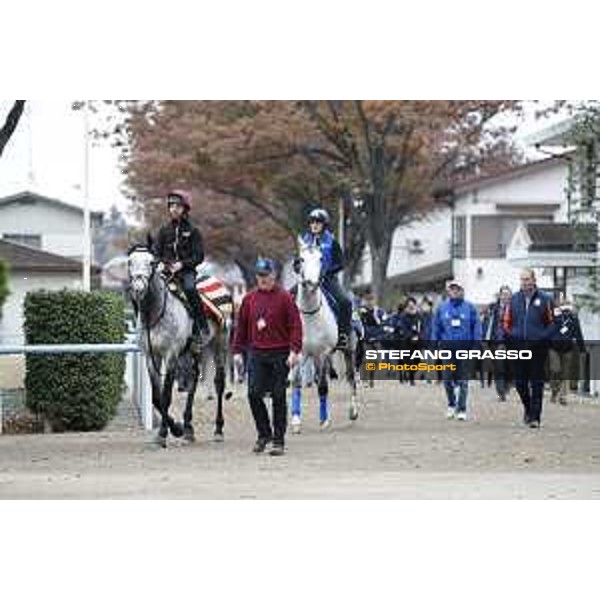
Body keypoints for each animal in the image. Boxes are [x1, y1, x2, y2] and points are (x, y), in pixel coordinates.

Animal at [126, 243, 230, 446]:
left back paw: (218, 429)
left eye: (151, 262)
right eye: (130, 262)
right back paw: (189, 428)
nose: (138, 288)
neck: (156, 313)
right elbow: (157, 397)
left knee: (219, 383)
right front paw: (177, 428)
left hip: (219, 343)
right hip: (193, 350)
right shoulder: (151, 356)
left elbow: (166, 396)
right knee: (194, 379)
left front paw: (163, 434)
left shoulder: (171, 356)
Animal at [290, 238, 358, 432]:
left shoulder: (324, 353)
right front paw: (295, 420)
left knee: (351, 378)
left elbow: (322, 386)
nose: (311, 283)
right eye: (301, 259)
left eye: (321, 258)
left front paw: (324, 420)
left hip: (348, 350)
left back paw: (353, 412)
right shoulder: (299, 353)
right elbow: (296, 382)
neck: (310, 315)